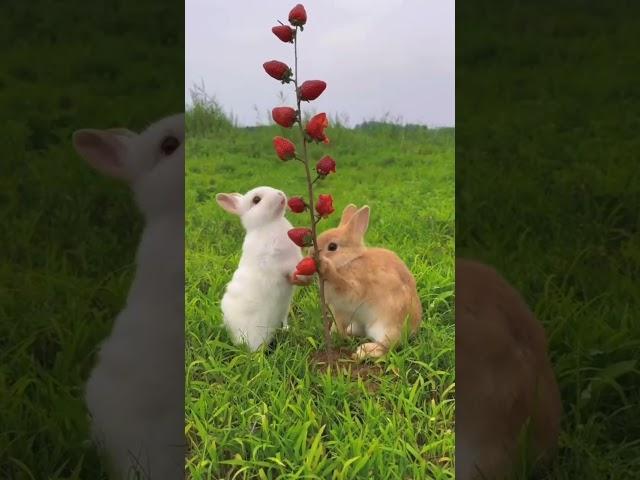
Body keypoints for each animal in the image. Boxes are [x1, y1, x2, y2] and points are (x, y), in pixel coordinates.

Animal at [215, 188, 310, 352]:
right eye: (256, 200)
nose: (280, 194)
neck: (269, 224)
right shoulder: (281, 263)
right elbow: (291, 271)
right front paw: (303, 278)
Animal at [316, 204, 424, 358]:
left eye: (332, 247)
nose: (311, 254)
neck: (349, 261)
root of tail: (413, 330)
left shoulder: (352, 291)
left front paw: (325, 266)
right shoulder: (339, 310)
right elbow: (337, 326)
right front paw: (335, 335)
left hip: (386, 326)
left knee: (388, 346)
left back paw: (362, 352)